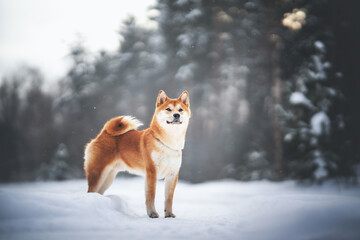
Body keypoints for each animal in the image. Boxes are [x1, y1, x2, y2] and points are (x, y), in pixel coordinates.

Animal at [84, 90, 191, 218]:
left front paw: (169, 214)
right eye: (168, 109)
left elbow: (169, 198)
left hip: (108, 177)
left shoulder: (172, 174)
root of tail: (103, 133)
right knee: (90, 191)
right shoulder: (152, 172)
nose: (176, 115)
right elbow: (151, 196)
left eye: (180, 109)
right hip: (98, 173)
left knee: (98, 192)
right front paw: (152, 214)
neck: (167, 143)